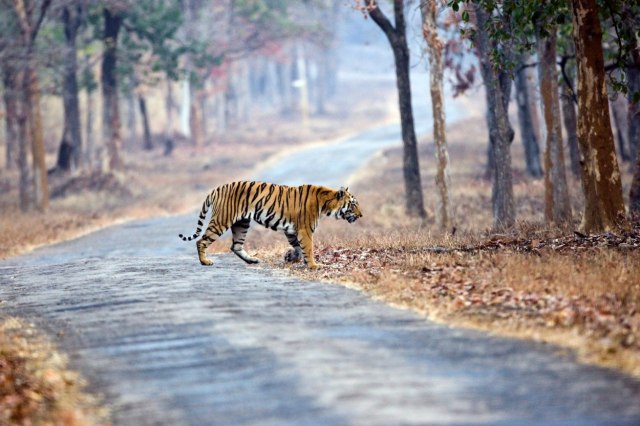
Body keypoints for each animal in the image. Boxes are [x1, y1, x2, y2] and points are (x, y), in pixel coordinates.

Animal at [178, 181, 362, 268]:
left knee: (235, 246)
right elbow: (308, 248)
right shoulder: (305, 230)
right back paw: (205, 261)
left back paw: (252, 260)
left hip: (242, 223)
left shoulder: (292, 230)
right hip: (222, 220)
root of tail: (217, 188)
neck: (326, 203)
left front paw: (291, 257)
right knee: (201, 240)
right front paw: (313, 265)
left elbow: (298, 247)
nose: (361, 215)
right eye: (353, 204)